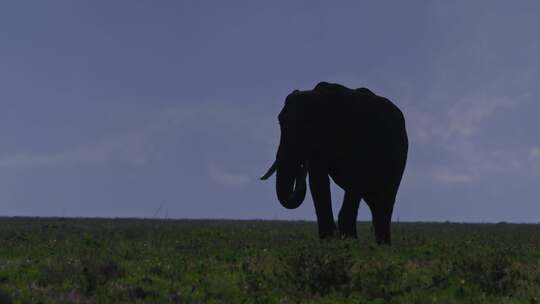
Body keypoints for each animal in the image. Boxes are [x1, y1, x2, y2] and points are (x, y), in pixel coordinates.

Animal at [260, 81, 408, 245]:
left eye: (308, 126)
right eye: (280, 122)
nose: (301, 167)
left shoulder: (360, 136)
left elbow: (356, 179)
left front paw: (348, 238)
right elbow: (318, 181)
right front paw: (328, 238)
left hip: (399, 159)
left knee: (385, 198)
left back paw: (383, 243)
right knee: (373, 201)